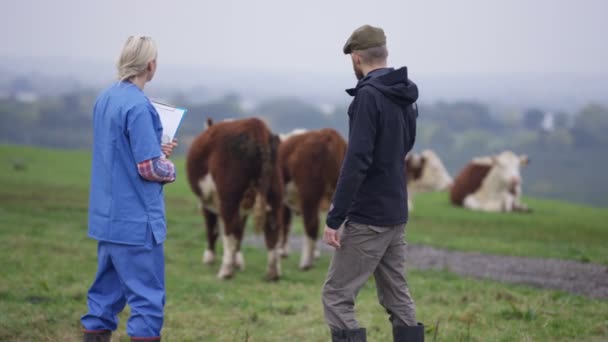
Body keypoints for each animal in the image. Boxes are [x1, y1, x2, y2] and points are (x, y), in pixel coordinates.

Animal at [185, 117, 284, 280]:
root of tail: (256, 125)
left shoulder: (206, 201)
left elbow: (212, 229)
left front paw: (209, 258)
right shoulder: (243, 207)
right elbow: (240, 231)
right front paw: (237, 262)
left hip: (229, 196)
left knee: (229, 227)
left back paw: (225, 271)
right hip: (275, 193)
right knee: (273, 229)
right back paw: (273, 273)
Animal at [276, 128, 344, 270]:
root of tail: (329, 134)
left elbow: (284, 223)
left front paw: (282, 251)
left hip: (309, 193)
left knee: (311, 225)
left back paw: (306, 263)